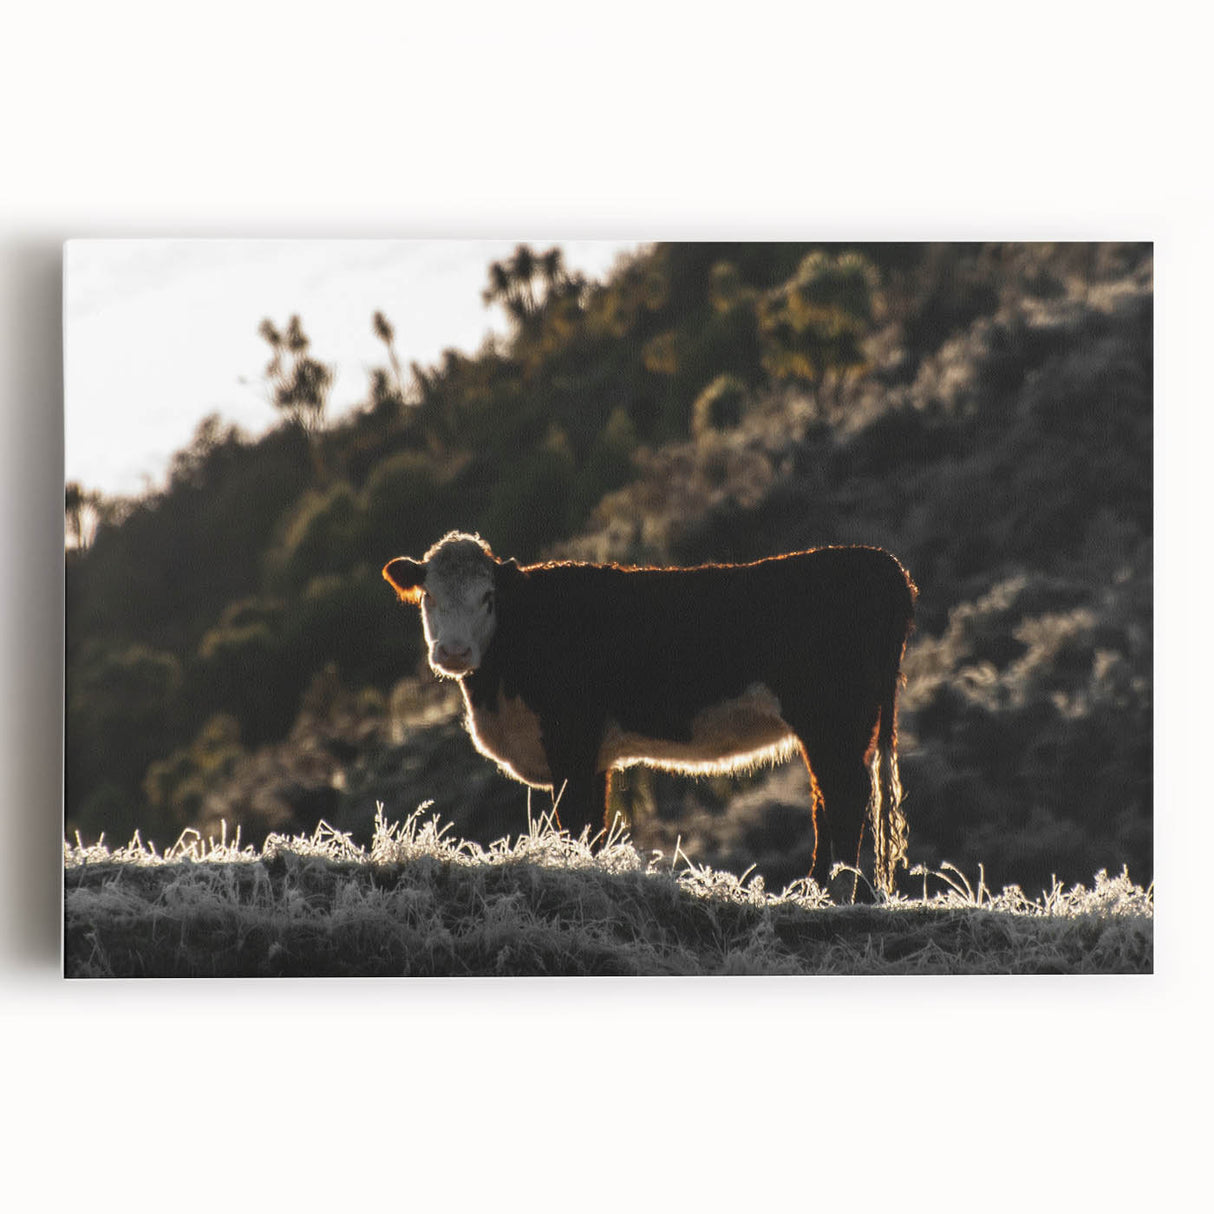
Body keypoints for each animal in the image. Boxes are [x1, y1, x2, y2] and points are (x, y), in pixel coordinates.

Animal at [383, 531, 916, 897]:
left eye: (488, 597)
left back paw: (834, 893)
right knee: (828, 799)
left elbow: (574, 820)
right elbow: (593, 826)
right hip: (839, 729)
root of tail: (878, 561)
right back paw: (817, 890)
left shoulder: (570, 740)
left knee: (845, 799)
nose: (453, 652)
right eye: (429, 596)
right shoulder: (593, 756)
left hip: (832, 720)